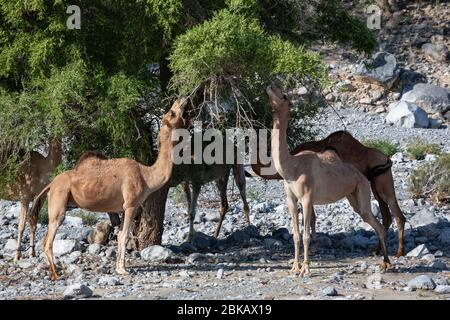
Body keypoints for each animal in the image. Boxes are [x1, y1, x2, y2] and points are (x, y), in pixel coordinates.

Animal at [29, 98, 186, 280]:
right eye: (171, 113)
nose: (181, 100)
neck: (147, 176)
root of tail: (50, 184)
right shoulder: (131, 205)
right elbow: (124, 236)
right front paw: (123, 269)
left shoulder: (123, 208)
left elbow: (119, 235)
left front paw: (119, 267)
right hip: (58, 201)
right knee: (48, 239)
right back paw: (56, 274)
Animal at [251, 132, 406, 258]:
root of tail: (386, 159)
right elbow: (311, 218)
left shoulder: (307, 192)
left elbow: (312, 218)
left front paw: (312, 249)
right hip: (377, 183)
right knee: (388, 216)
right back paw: (379, 251)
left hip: (381, 183)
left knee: (395, 214)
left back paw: (397, 253)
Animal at [268, 84, 390, 276]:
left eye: (285, 96)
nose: (271, 86)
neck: (291, 168)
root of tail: (361, 175)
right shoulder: (291, 199)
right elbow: (296, 235)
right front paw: (294, 267)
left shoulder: (307, 198)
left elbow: (306, 235)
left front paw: (306, 269)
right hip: (353, 196)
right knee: (373, 221)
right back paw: (385, 262)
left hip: (362, 189)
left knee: (376, 222)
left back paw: (385, 263)